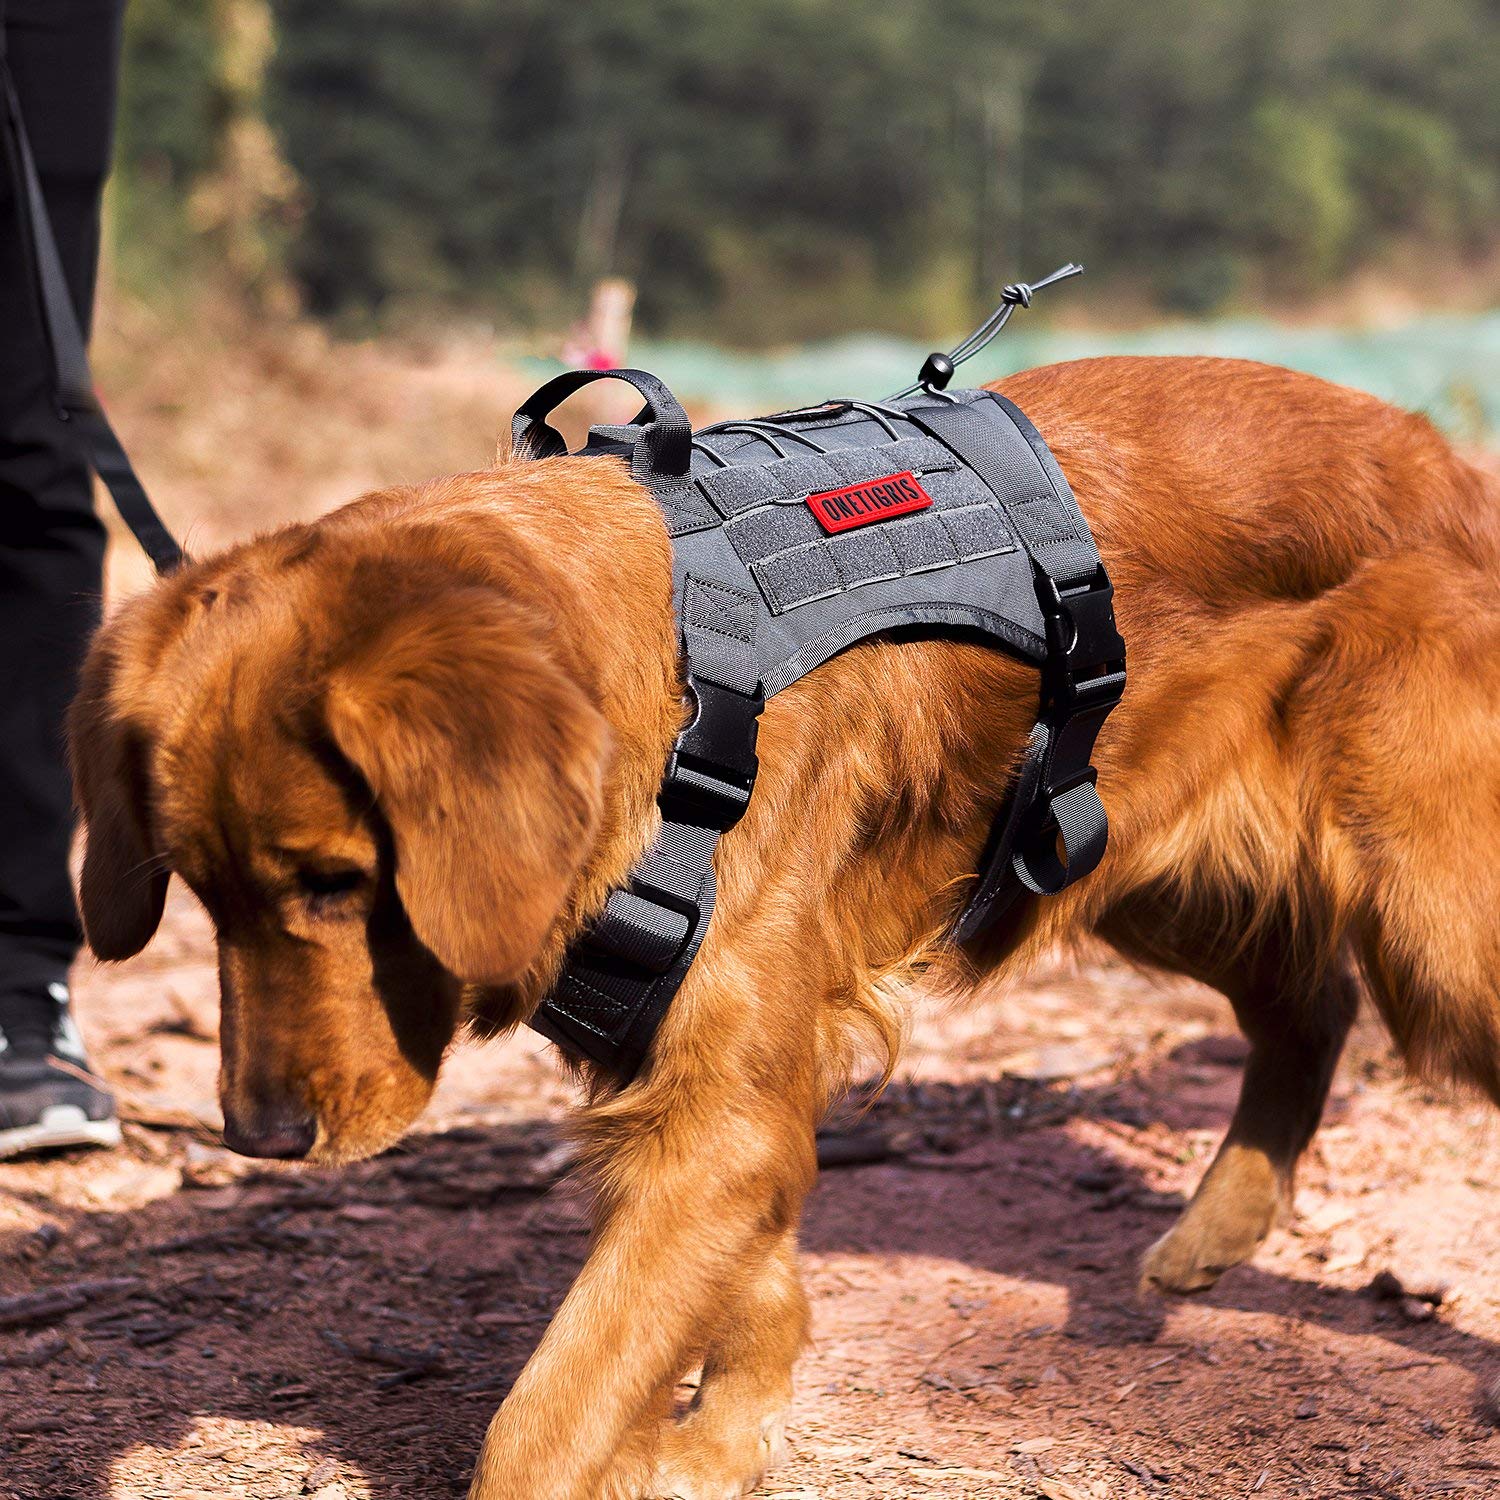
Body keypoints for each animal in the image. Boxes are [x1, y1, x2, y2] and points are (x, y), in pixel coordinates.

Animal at [67, 354, 1500, 1500]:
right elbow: (741, 1282)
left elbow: (550, 1413)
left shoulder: (723, 1104)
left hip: (1424, 912)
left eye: (334, 882)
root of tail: (1450, 460)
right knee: (1308, 1000)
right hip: (1115, 860)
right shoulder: (719, 1088)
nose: (257, 1141)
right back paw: (1217, 1233)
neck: (678, 676)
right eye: (198, 890)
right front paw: (720, 1445)